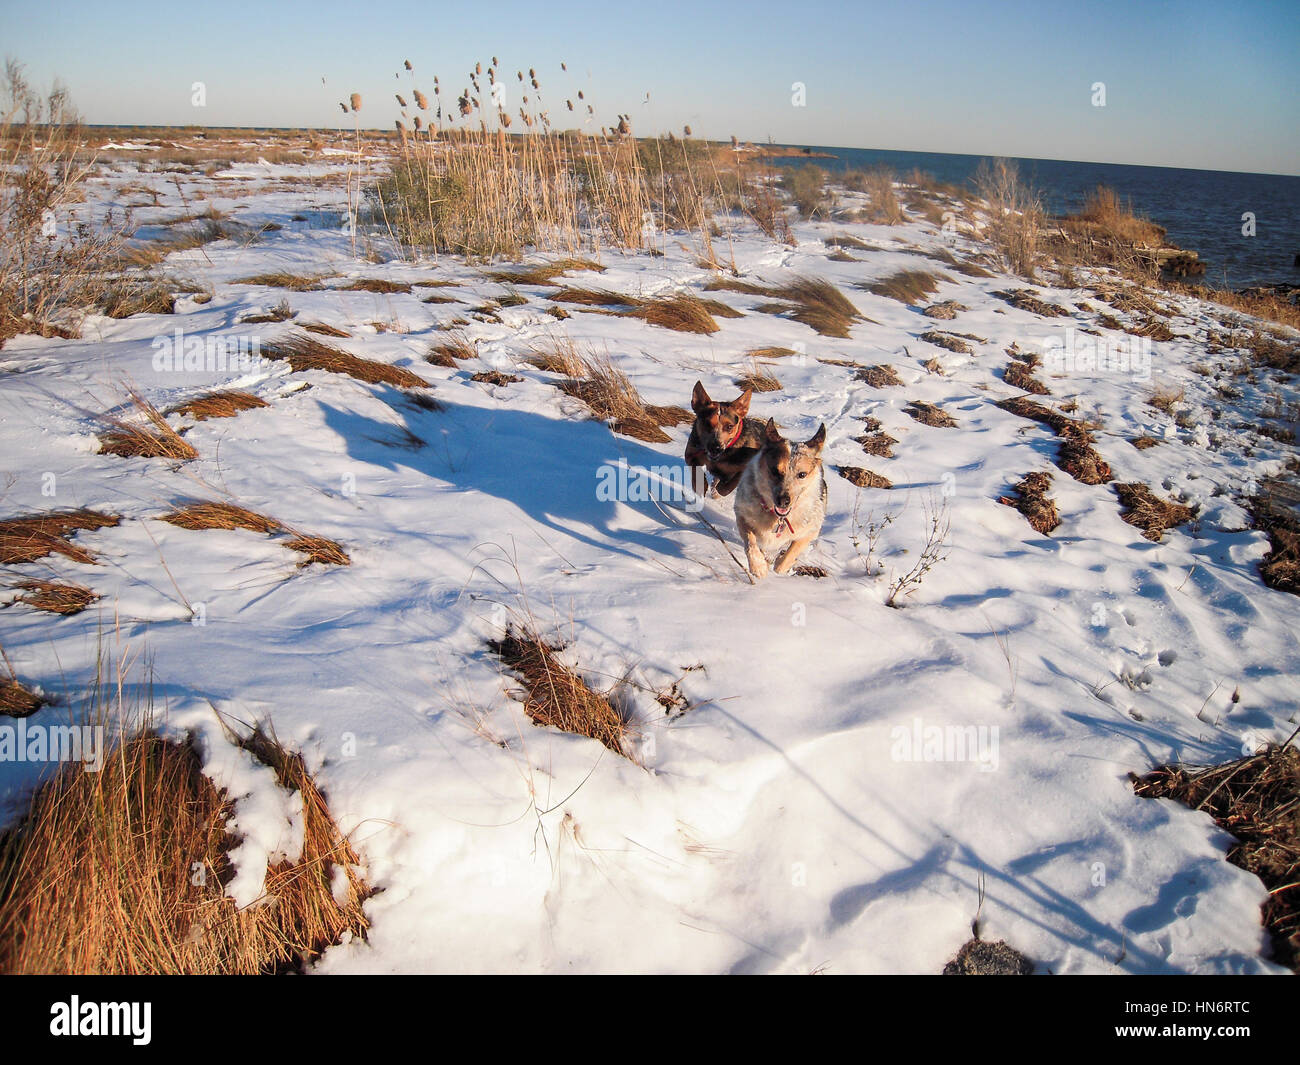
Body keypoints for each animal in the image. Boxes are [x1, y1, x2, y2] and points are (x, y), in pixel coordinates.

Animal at [738, 418, 826, 582]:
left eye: (802, 474)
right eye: (774, 470)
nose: (783, 501)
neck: (777, 518)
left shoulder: (811, 530)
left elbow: (788, 556)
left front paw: (781, 562)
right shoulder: (742, 514)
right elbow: (750, 542)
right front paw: (759, 566)